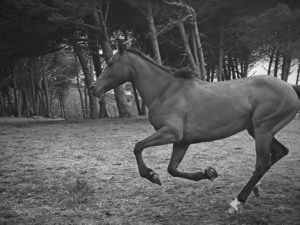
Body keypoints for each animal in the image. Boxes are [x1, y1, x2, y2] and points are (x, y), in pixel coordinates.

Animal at [91, 46, 300, 214]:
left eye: (110, 63)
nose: (93, 87)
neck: (166, 91)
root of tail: (290, 86)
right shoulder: (182, 141)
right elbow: (172, 169)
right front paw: (208, 173)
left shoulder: (171, 132)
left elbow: (138, 147)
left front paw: (151, 175)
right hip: (256, 130)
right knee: (280, 153)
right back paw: (256, 189)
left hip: (263, 129)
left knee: (262, 164)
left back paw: (236, 203)